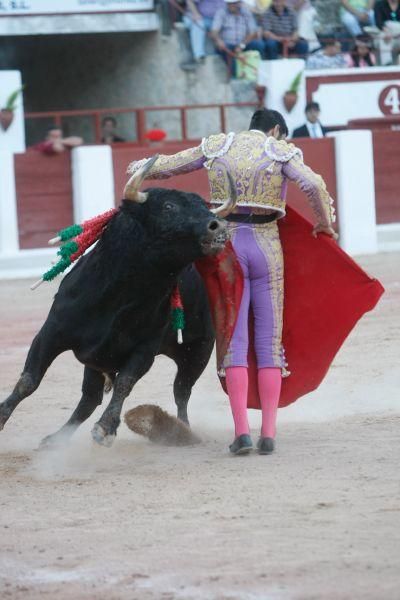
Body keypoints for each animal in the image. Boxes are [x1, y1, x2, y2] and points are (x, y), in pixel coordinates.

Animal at [0, 157, 231, 448]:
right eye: (169, 207)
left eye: (203, 206)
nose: (218, 226)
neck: (121, 294)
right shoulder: (51, 332)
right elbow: (29, 380)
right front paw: (1, 416)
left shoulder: (144, 350)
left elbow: (125, 383)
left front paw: (106, 428)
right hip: (97, 361)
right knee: (89, 399)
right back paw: (55, 441)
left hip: (198, 350)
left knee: (181, 392)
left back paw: (182, 431)